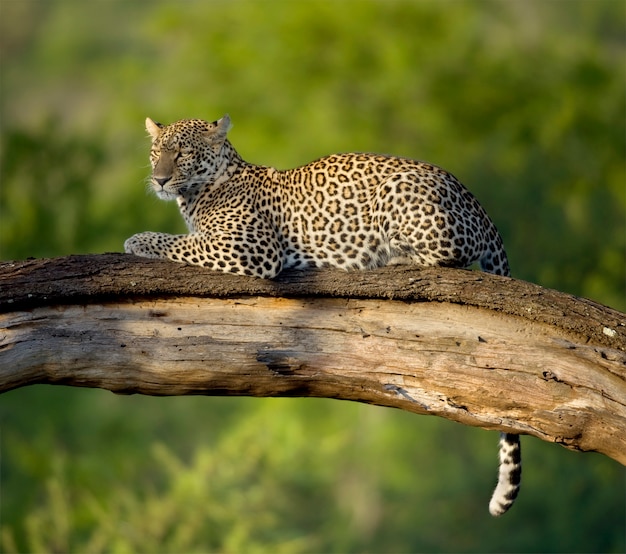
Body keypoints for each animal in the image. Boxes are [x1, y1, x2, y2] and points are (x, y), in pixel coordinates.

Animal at [124, 114, 520, 516]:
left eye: (182, 153)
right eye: (157, 152)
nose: (159, 179)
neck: (197, 194)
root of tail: (478, 204)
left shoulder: (251, 246)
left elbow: (180, 242)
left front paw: (137, 240)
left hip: (403, 197)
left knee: (447, 256)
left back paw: (388, 257)